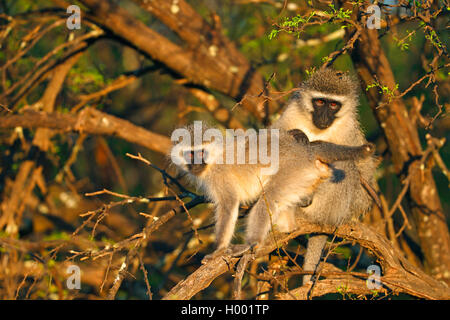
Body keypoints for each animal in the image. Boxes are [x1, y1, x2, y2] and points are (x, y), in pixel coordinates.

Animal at [168, 122, 372, 260]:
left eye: (201, 152)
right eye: (190, 153)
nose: (196, 164)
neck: (214, 160)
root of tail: (305, 153)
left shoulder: (221, 177)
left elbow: (229, 205)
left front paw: (218, 250)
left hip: (293, 171)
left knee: (270, 197)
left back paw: (253, 242)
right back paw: (287, 228)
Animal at [270, 67, 380, 282]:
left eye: (334, 105)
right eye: (320, 102)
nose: (323, 117)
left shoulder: (349, 128)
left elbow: (364, 175)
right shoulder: (292, 109)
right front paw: (298, 136)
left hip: (330, 209)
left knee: (347, 166)